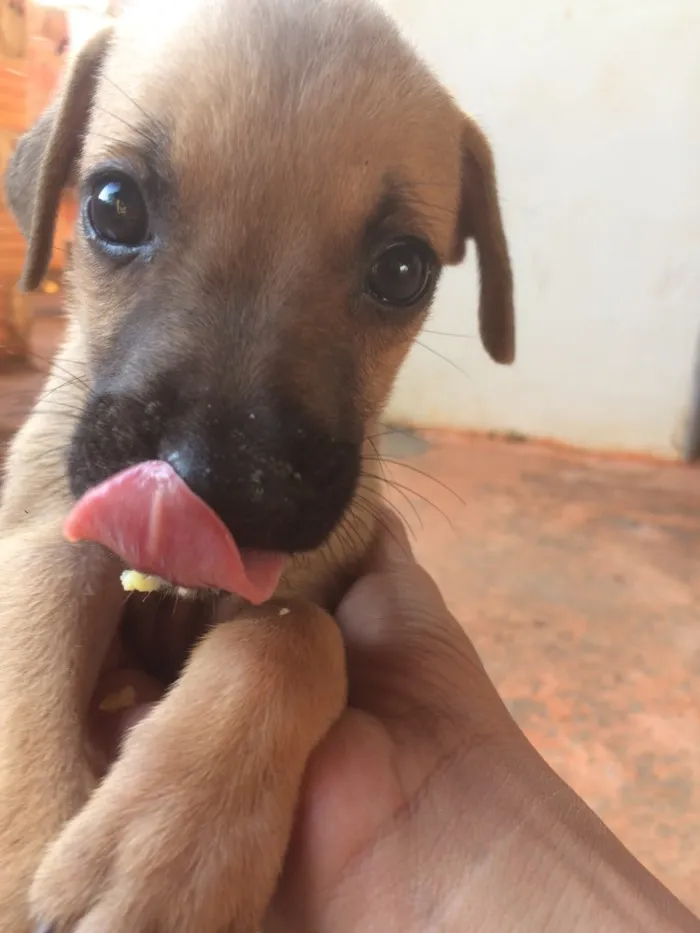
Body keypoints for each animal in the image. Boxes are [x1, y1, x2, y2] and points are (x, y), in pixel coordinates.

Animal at [0, 1, 516, 932]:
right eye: (113, 206)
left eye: (403, 268)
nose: (213, 481)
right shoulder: (41, 535)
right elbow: (41, 620)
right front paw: (28, 847)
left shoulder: (315, 583)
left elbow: (292, 634)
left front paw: (166, 844)